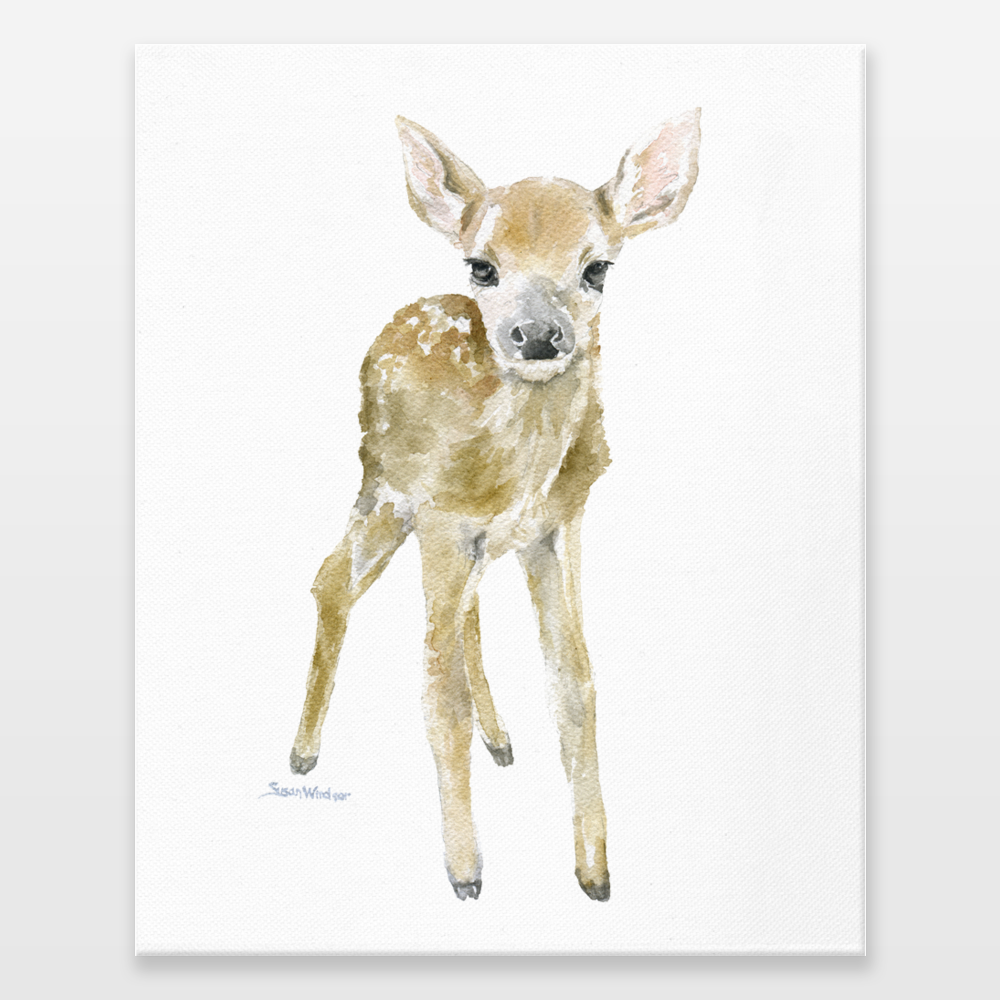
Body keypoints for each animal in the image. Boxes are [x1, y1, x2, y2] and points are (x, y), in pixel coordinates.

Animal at [290, 112, 701, 901]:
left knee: (461, 617)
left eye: (598, 267)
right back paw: (302, 752)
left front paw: (595, 871)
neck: (516, 475)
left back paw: (501, 738)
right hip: (384, 488)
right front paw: (466, 873)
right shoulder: (443, 519)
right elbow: (436, 695)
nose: (538, 336)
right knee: (331, 580)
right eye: (482, 267)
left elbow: (575, 682)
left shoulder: (557, 527)